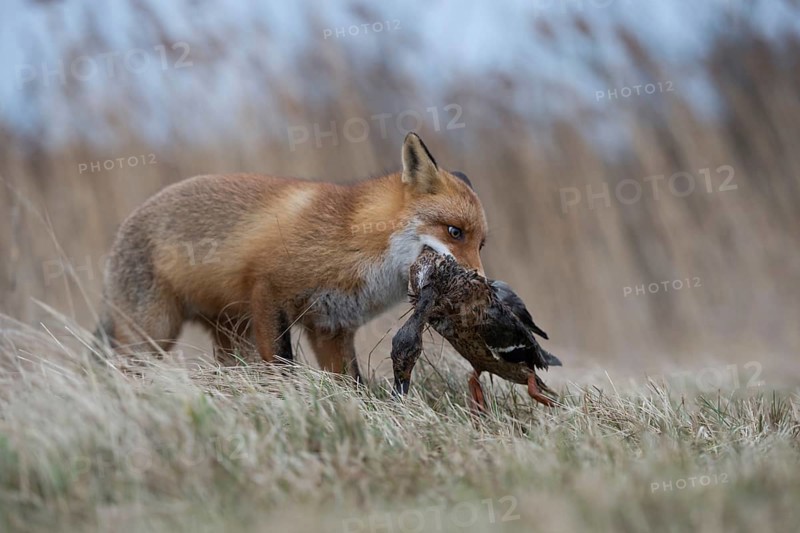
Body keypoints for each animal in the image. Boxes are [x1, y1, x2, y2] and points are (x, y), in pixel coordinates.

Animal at [95, 132, 488, 380]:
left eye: (481, 244)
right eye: (454, 232)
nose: (481, 284)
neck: (353, 237)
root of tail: (120, 232)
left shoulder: (331, 327)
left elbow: (351, 382)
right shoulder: (268, 291)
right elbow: (282, 364)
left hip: (231, 335)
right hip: (152, 335)